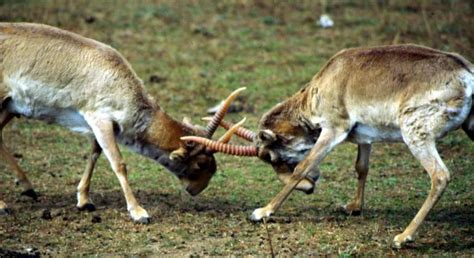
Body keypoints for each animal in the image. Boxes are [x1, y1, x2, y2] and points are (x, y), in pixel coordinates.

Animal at [0, 23, 244, 223]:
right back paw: (5, 204)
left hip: (11, 107)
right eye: (202, 163)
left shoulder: (102, 125)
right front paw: (139, 213)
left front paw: (84, 201)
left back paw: (27, 187)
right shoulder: (99, 118)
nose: (197, 189)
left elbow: (95, 153)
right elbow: (119, 163)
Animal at [185, 44, 474, 248]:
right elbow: (361, 167)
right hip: (469, 127)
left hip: (415, 134)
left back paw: (403, 237)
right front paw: (353, 207)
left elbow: (303, 165)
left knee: (440, 175)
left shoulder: (333, 130)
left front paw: (262, 211)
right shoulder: (364, 138)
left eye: (272, 157)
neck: (330, 78)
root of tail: (466, 73)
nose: (310, 188)